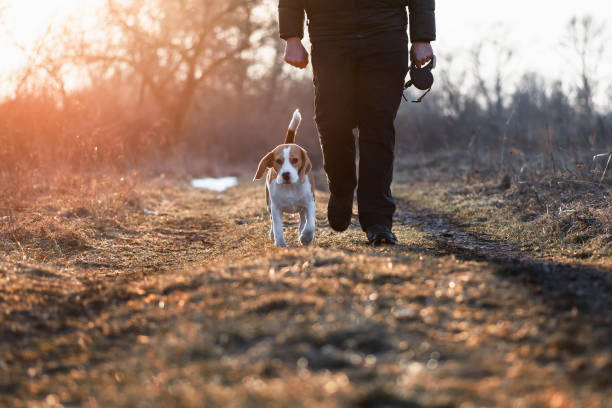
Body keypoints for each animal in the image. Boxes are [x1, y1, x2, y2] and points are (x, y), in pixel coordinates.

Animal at [253, 108, 316, 247]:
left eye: (295, 160)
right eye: (278, 161)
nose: (285, 174)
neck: (290, 187)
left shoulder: (310, 203)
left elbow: (310, 225)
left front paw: (306, 237)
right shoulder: (275, 207)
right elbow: (277, 227)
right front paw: (280, 243)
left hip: (302, 208)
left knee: (303, 220)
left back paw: (301, 232)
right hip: (269, 204)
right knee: (272, 221)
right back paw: (273, 234)